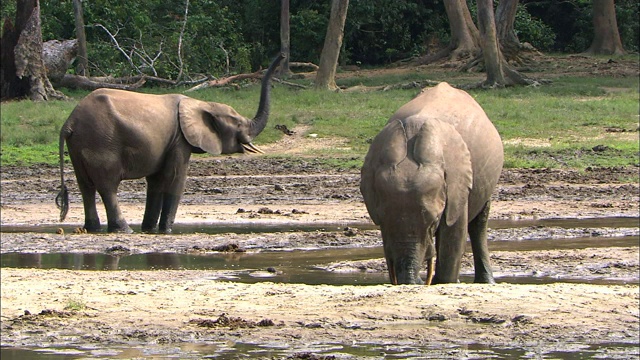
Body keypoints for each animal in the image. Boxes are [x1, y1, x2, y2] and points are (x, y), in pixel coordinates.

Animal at [56, 53, 284, 233]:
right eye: (238, 124)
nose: (282, 55)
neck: (201, 103)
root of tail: (69, 122)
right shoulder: (179, 140)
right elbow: (175, 178)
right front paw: (166, 231)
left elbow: (156, 182)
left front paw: (149, 230)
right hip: (101, 142)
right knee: (107, 186)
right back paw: (123, 229)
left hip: (80, 145)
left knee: (86, 186)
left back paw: (93, 229)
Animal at [360, 81, 504, 284]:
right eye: (381, 219)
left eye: (433, 221)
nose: (416, 282)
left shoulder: (458, 180)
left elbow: (454, 235)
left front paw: (443, 282)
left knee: (479, 224)